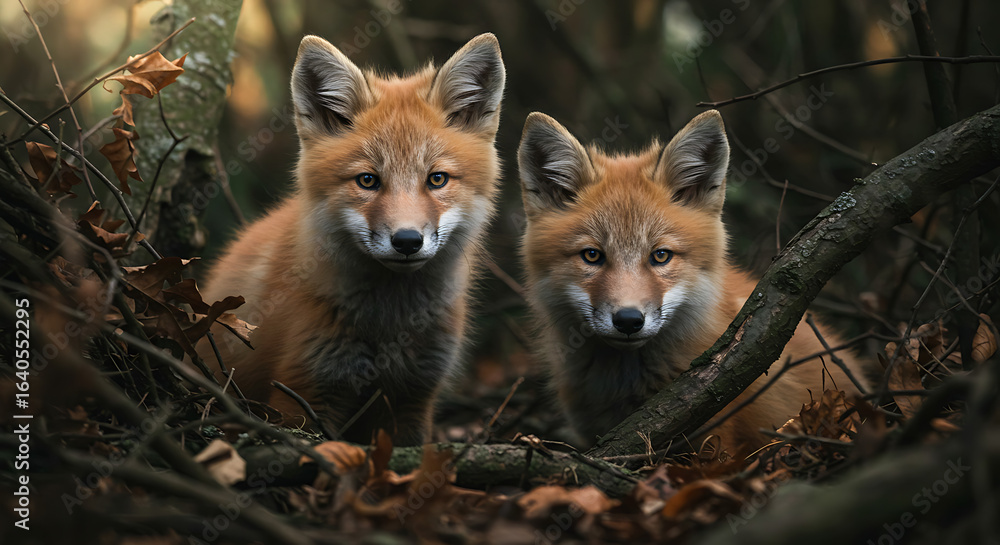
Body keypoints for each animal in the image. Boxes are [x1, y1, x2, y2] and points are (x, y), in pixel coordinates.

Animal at [197, 34, 506, 446]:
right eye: (367, 180)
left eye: (437, 179)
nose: (407, 241)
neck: (389, 323)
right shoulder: (303, 392)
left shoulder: (414, 397)